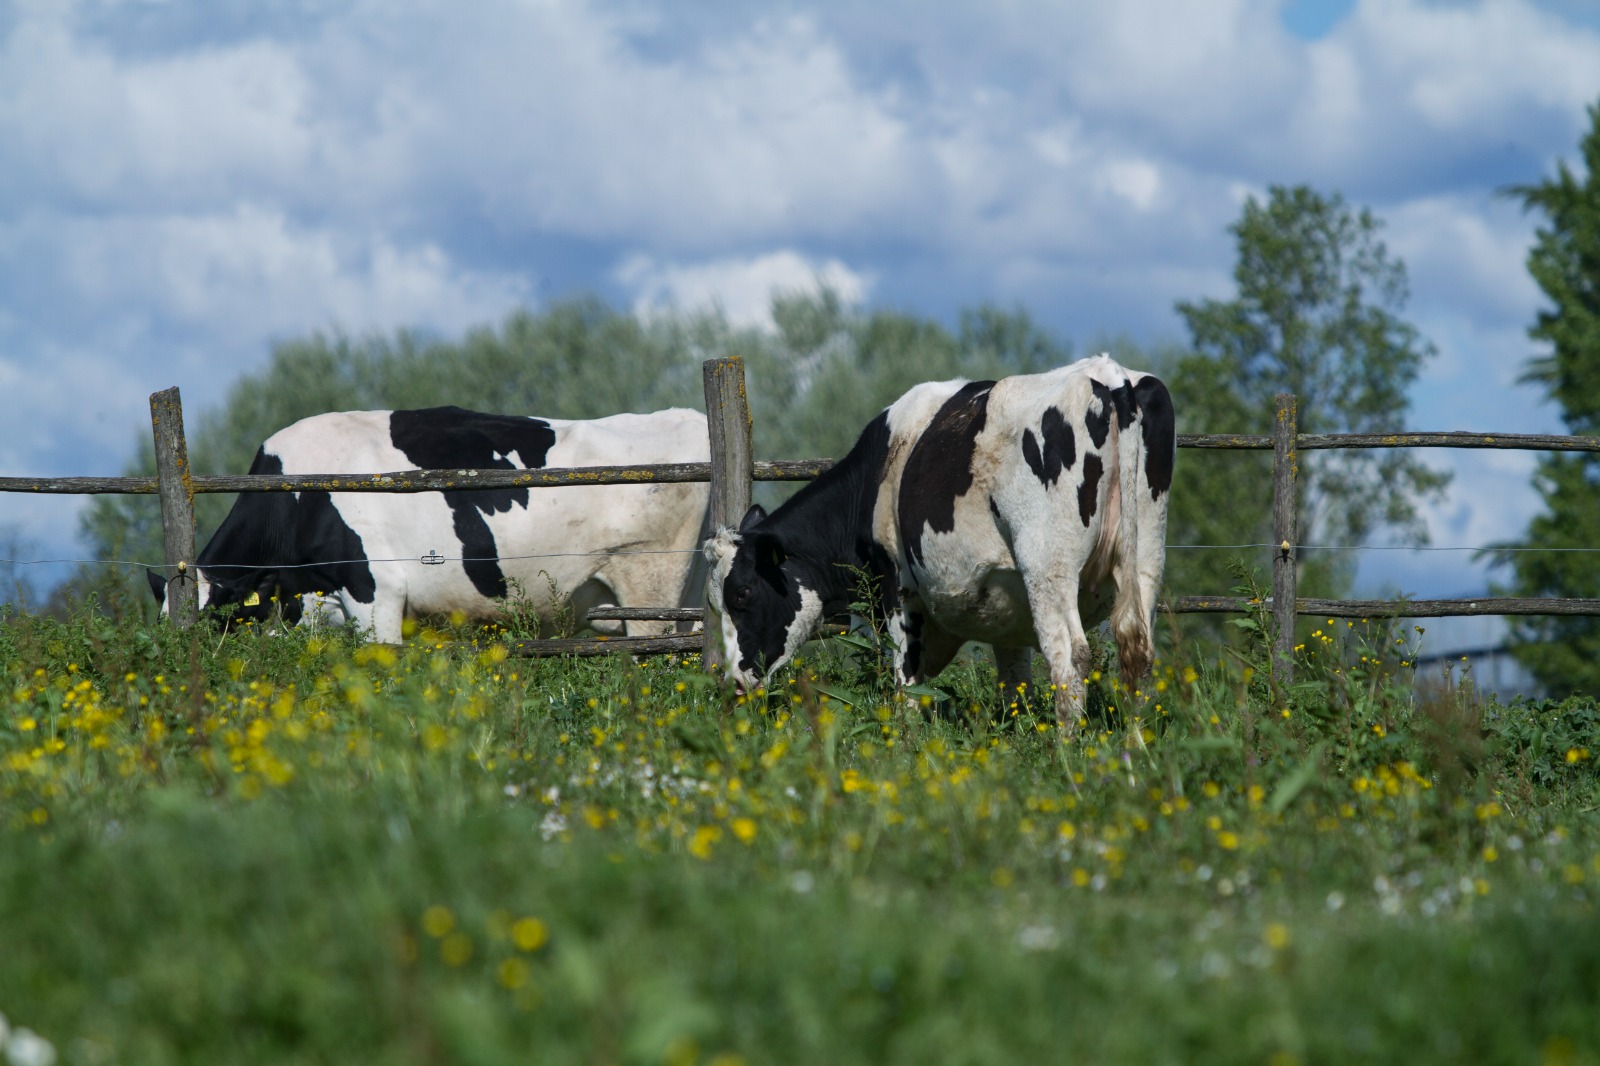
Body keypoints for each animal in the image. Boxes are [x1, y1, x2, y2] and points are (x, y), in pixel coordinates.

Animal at [704, 352, 1177, 726]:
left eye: (742, 593)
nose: (735, 682)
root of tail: (1109, 374)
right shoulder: (1007, 607)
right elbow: (1015, 687)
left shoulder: (897, 590)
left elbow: (906, 683)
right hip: (1145, 556)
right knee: (1138, 650)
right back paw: (1132, 755)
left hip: (1048, 564)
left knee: (1070, 660)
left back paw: (1066, 754)